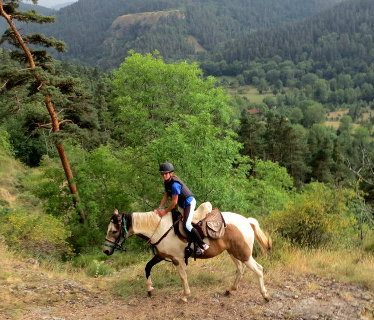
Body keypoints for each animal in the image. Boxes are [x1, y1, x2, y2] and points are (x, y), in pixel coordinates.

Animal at [102, 205, 272, 302]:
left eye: (114, 231)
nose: (106, 250)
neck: (160, 229)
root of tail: (246, 221)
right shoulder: (162, 255)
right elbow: (147, 267)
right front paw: (150, 289)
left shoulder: (177, 259)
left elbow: (183, 276)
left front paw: (184, 296)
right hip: (233, 252)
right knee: (240, 269)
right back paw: (230, 290)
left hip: (243, 254)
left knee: (258, 270)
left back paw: (265, 295)